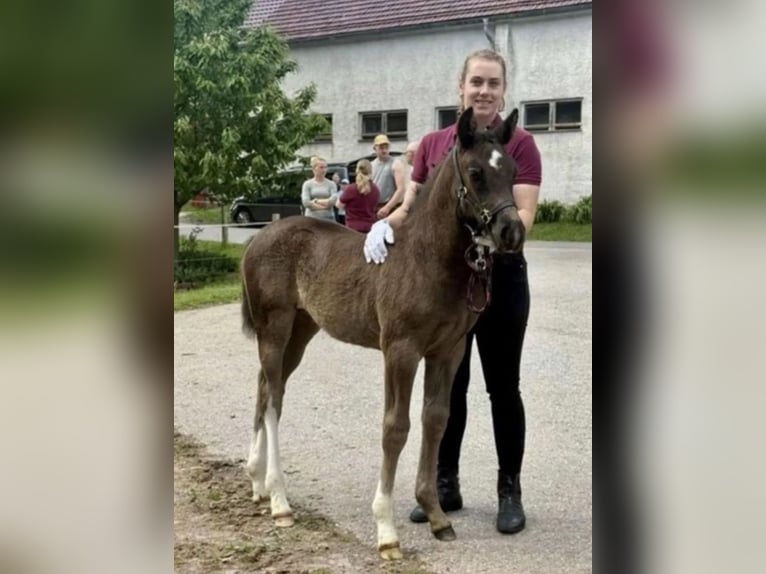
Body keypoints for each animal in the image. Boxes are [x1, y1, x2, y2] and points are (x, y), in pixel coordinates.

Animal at [240, 107, 525, 560]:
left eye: (513, 170)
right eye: (477, 172)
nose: (512, 232)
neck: (427, 260)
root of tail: (256, 240)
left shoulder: (448, 350)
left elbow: (436, 420)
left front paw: (436, 515)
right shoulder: (401, 350)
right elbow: (396, 428)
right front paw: (386, 530)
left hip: (300, 330)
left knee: (265, 387)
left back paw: (256, 482)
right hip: (275, 327)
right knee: (273, 401)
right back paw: (280, 500)